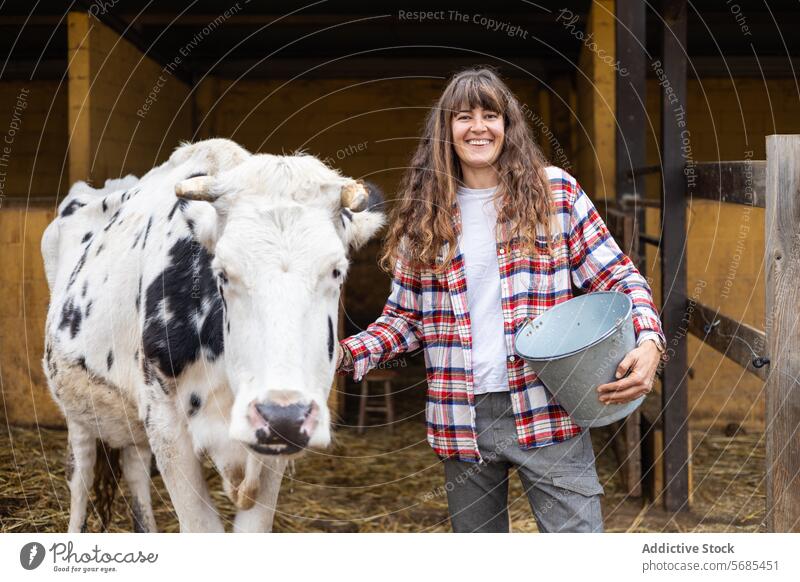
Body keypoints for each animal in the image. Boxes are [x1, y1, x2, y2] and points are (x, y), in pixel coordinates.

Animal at [42, 138, 386, 532]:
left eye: (336, 271)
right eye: (222, 272)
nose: (282, 415)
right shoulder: (166, 425)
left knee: (134, 465)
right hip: (77, 405)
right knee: (80, 473)